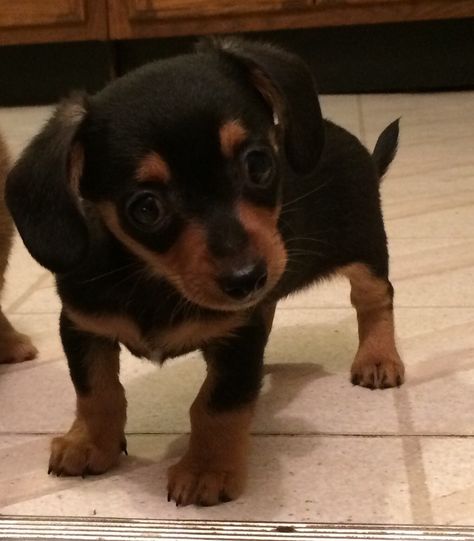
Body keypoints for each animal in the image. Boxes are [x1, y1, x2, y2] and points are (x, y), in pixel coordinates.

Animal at [4, 39, 404, 506]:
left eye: (258, 164)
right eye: (145, 208)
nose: (247, 278)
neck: (156, 281)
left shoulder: (236, 338)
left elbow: (215, 405)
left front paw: (205, 469)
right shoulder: (83, 326)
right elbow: (95, 391)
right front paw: (90, 443)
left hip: (365, 250)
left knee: (375, 297)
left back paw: (377, 357)